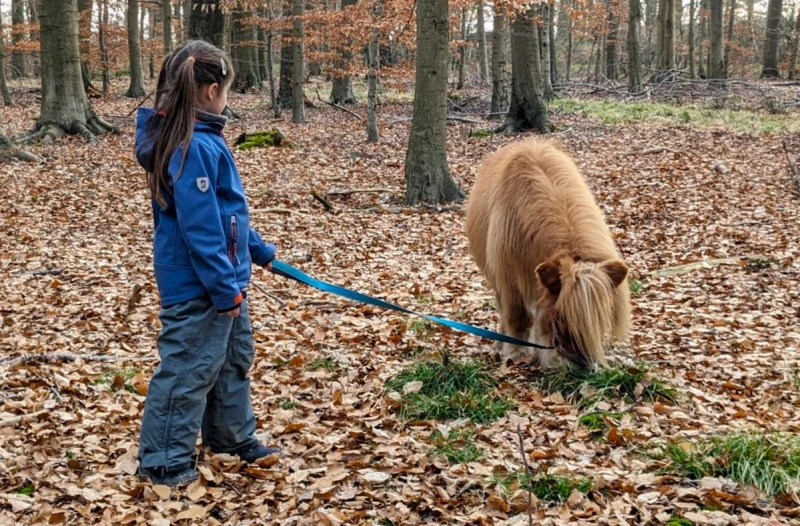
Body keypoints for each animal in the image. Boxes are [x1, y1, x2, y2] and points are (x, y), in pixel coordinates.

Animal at [466, 140, 628, 372]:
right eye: (561, 317)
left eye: (599, 317)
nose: (585, 367)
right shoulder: (509, 281)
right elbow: (517, 318)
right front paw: (515, 353)